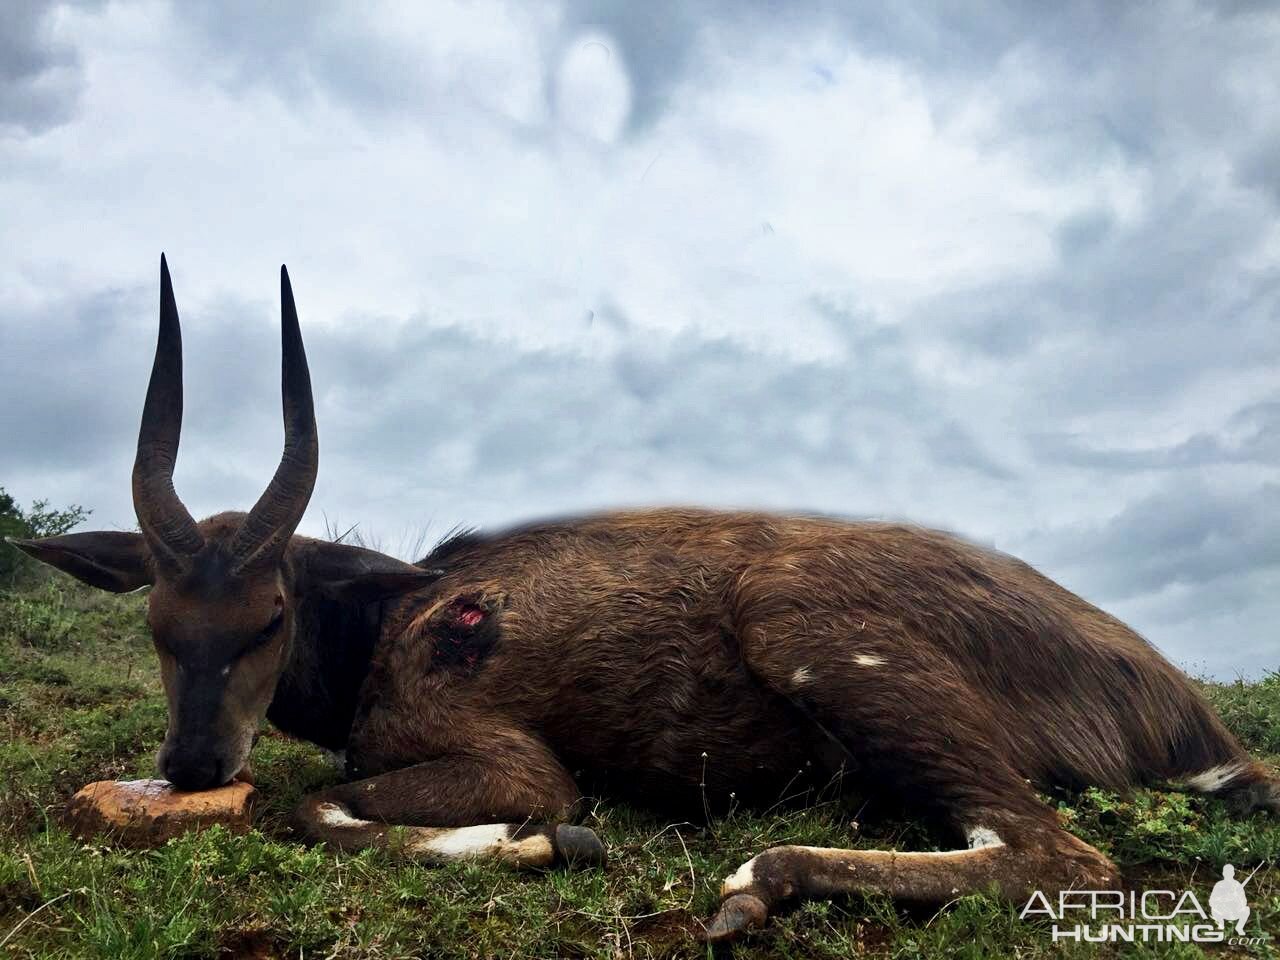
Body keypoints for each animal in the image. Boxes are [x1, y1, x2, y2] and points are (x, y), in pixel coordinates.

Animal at [12, 257, 1280, 942]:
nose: (190, 764)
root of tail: (1181, 712)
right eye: (158, 624)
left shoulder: (503, 757)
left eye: (268, 616)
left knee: (1060, 855)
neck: (394, 623)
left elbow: (314, 803)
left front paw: (546, 841)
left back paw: (752, 886)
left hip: (806, 629)